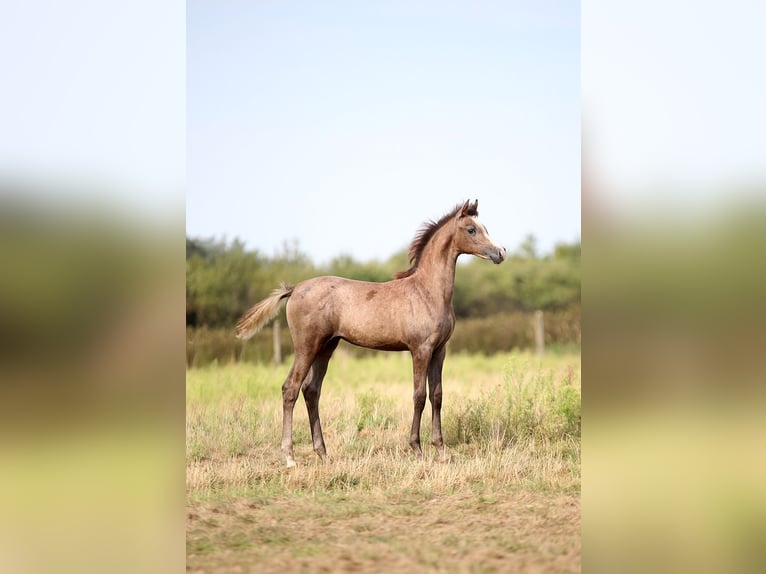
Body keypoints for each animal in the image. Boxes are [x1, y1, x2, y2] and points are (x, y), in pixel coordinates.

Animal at [235, 199, 506, 467]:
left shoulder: (440, 350)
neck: (427, 291)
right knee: (290, 388)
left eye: (484, 227)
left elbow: (437, 395)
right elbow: (419, 395)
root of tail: (294, 289)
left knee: (311, 391)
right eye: (471, 229)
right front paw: (417, 450)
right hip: (307, 346)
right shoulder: (420, 350)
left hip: (327, 347)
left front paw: (441, 451)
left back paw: (323, 453)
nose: (501, 252)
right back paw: (290, 457)